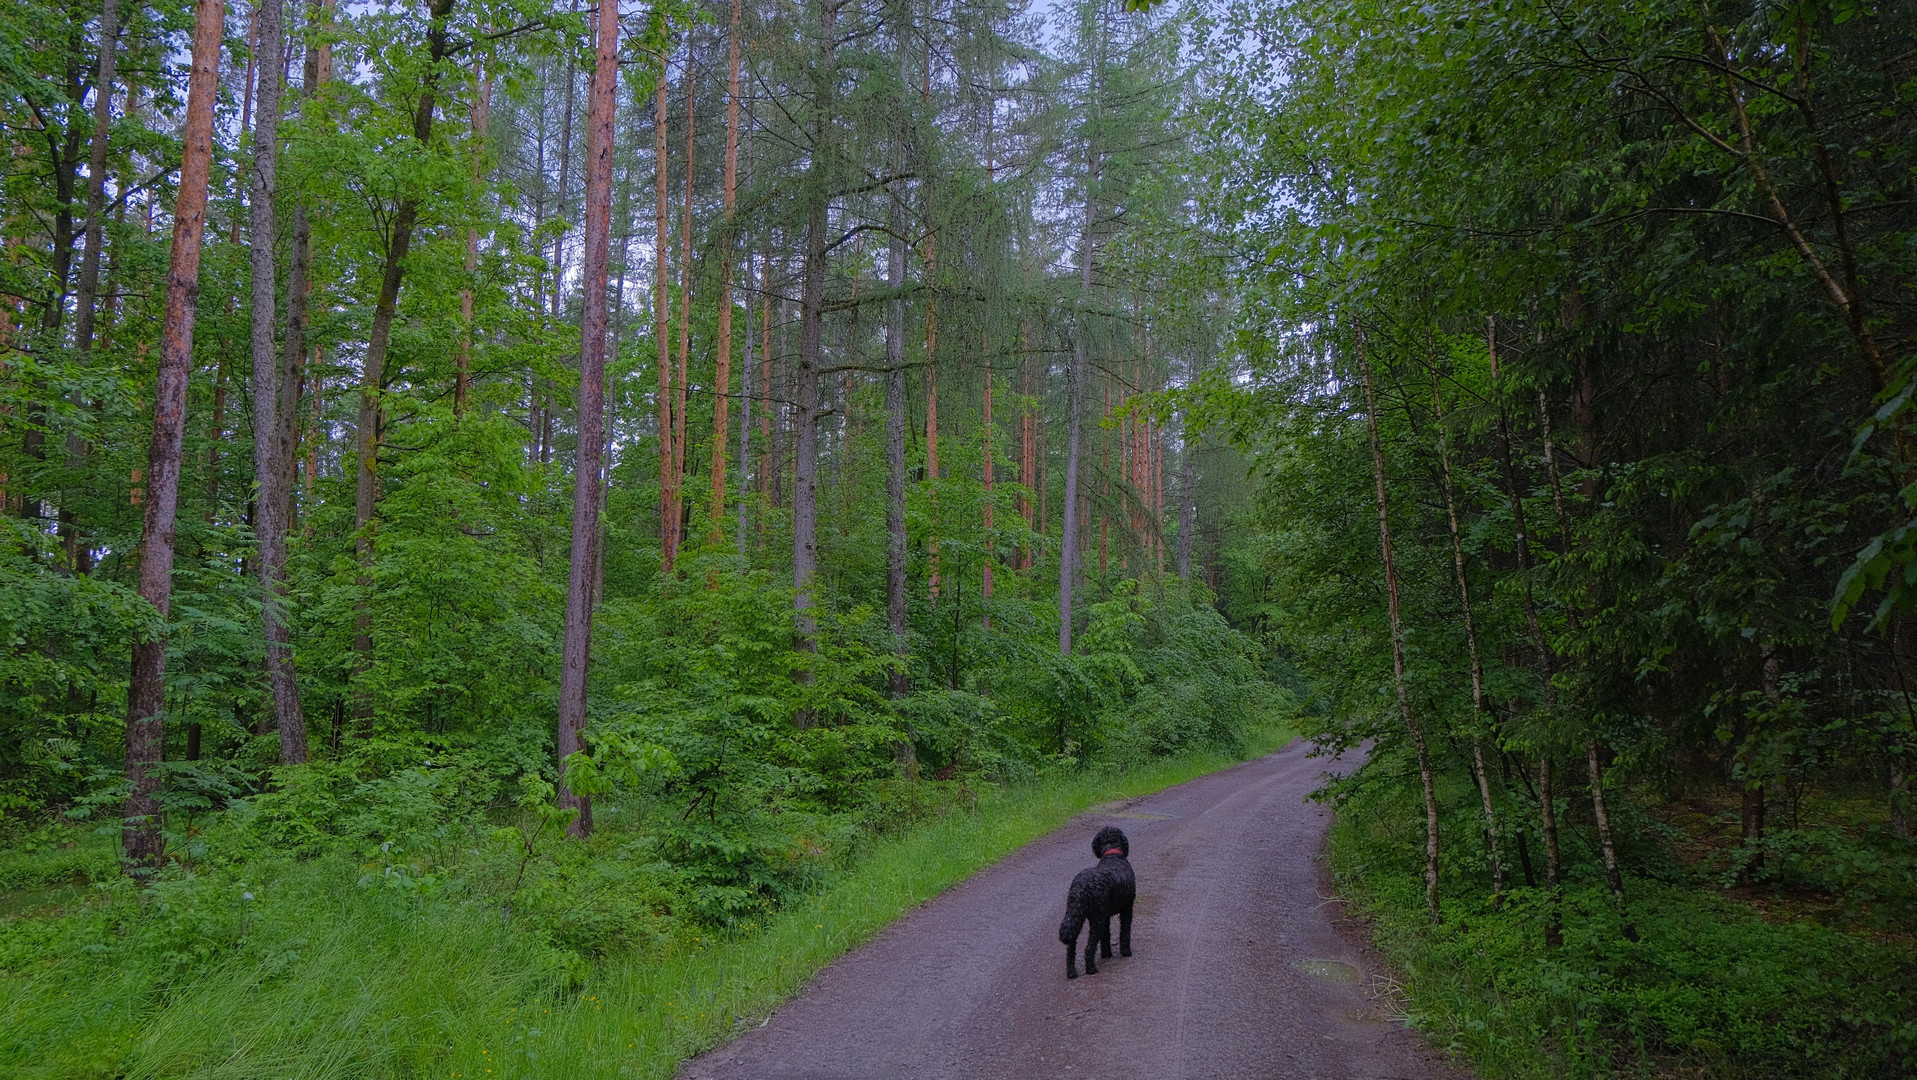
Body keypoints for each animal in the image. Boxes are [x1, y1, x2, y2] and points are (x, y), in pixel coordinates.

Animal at [1058, 828, 1127, 982]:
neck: (1112, 854)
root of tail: (1082, 886)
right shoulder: (1127, 908)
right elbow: (1125, 932)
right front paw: (1126, 952)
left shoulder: (1106, 916)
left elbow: (1106, 936)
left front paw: (1106, 954)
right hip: (1096, 920)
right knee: (1089, 947)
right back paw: (1091, 969)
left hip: (1076, 916)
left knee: (1071, 948)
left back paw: (1072, 972)